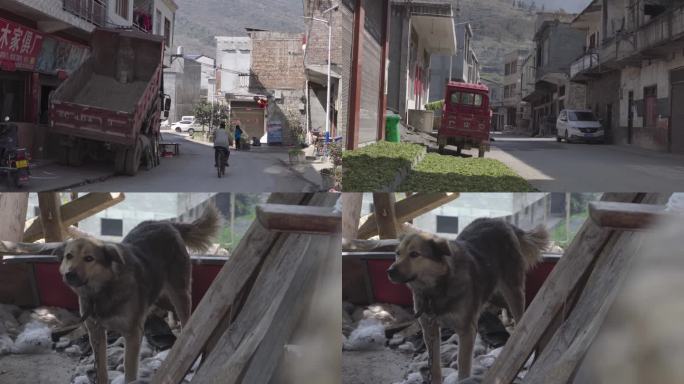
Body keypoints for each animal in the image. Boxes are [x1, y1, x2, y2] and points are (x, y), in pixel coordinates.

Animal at [58, 206, 220, 382]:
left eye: (89, 258)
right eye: (69, 256)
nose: (69, 275)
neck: (102, 291)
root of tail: (165, 223)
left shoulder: (133, 334)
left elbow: (129, 370)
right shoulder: (96, 332)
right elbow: (101, 369)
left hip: (180, 294)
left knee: (186, 320)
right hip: (160, 296)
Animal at [388, 218, 548, 382]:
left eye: (414, 254)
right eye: (397, 253)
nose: (390, 272)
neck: (436, 290)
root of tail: (501, 221)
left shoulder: (466, 330)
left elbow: (463, 365)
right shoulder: (429, 329)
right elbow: (435, 366)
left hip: (513, 291)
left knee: (521, 317)